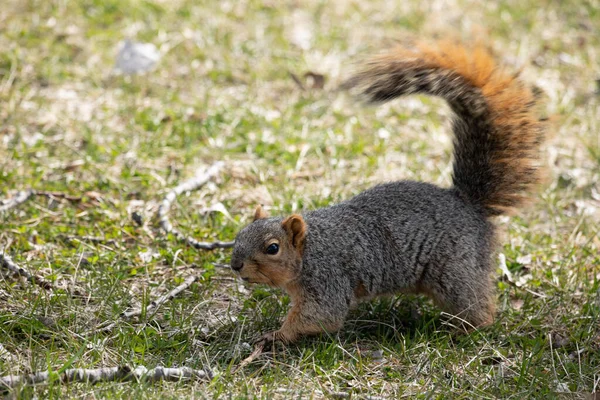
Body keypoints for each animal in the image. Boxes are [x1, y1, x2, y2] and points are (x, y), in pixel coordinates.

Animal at [229, 42, 544, 346]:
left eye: (272, 248)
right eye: (240, 234)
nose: (235, 265)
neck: (310, 249)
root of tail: (468, 203)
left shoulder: (327, 279)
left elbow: (321, 315)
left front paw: (275, 336)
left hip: (455, 268)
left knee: (475, 305)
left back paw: (465, 330)